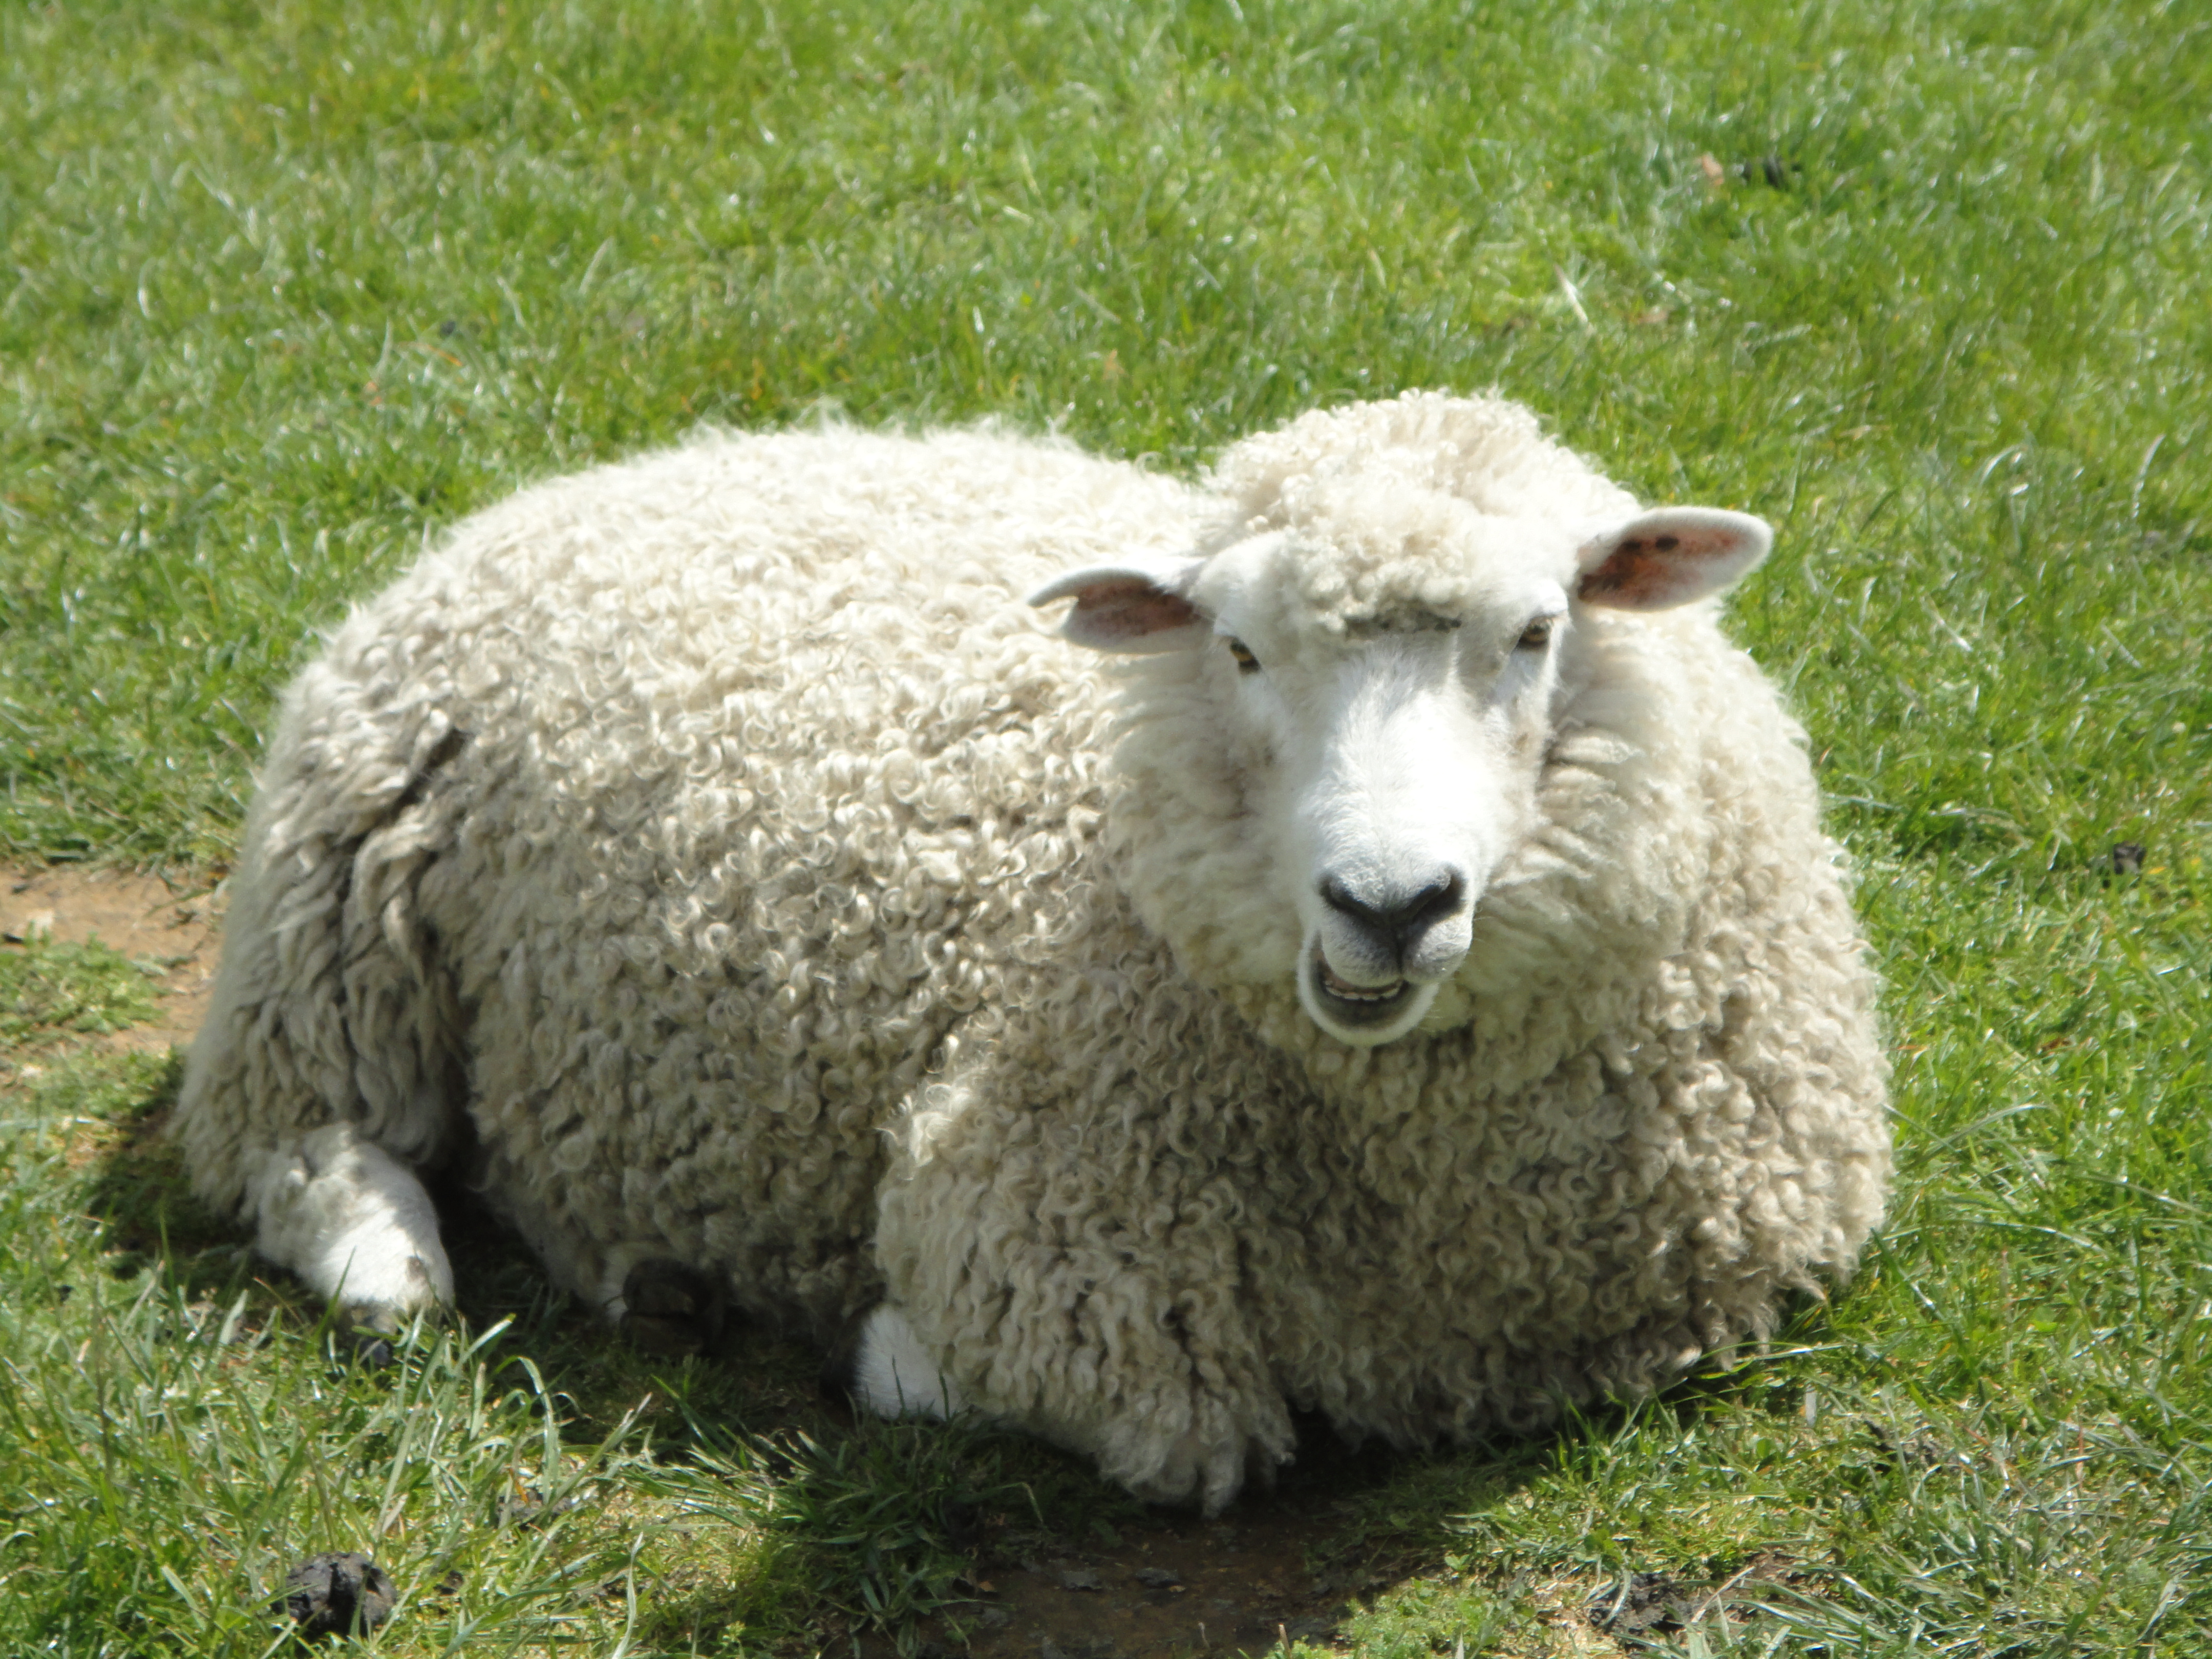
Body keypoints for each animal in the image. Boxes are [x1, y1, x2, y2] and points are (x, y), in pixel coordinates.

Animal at [176, 392, 1890, 1513]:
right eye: (1238, 649)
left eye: (1539, 635)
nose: (1388, 902)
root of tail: (594, 478)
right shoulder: (1029, 1240)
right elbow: (1118, 1417)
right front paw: (868, 1343)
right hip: (333, 909)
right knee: (301, 1148)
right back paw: (410, 1266)